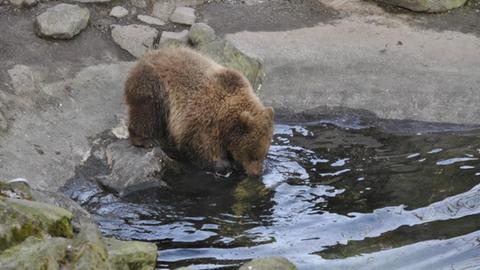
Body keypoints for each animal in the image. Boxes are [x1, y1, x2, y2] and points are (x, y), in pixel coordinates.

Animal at [124, 47, 274, 177]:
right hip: (155, 87)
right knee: (148, 113)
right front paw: (222, 164)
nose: (258, 172)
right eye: (254, 156)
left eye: (264, 154)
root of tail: (144, 57)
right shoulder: (202, 118)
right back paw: (146, 140)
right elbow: (199, 144)